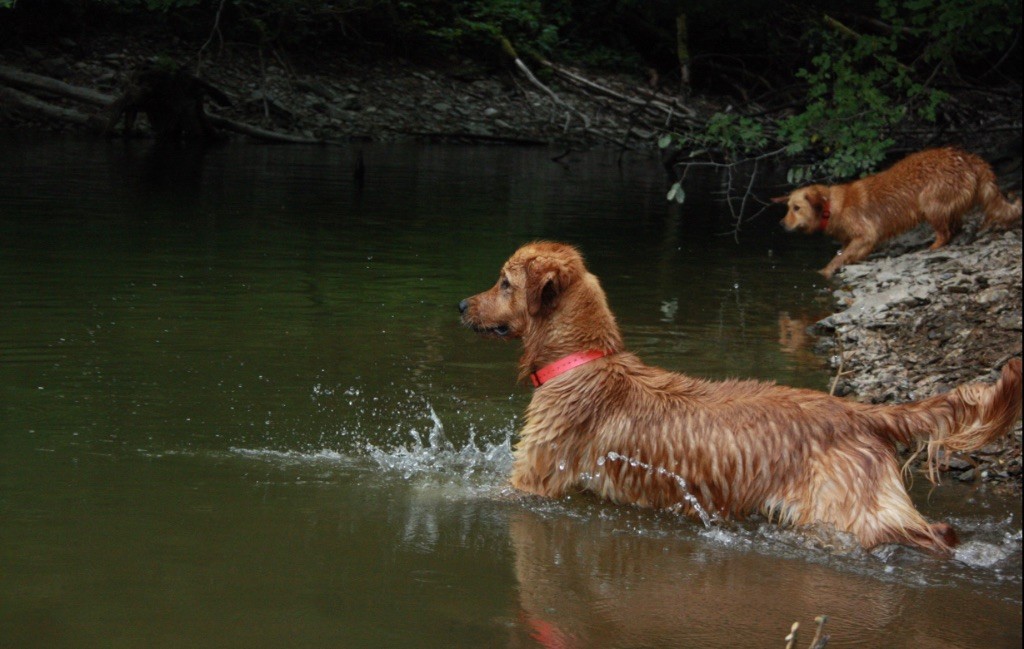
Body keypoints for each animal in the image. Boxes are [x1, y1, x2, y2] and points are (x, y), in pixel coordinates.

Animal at [462, 240, 1024, 552]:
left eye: (504, 282)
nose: (463, 304)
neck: (582, 360)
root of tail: (856, 410)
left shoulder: (532, 481)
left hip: (850, 511)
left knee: (927, 533)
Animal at [770, 145, 1019, 276]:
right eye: (788, 208)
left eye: (796, 208)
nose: (780, 224)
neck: (830, 206)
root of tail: (968, 158)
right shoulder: (850, 240)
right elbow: (843, 254)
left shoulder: (866, 235)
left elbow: (837, 259)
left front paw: (824, 272)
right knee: (955, 226)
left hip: (930, 201)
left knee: (945, 232)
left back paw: (932, 247)